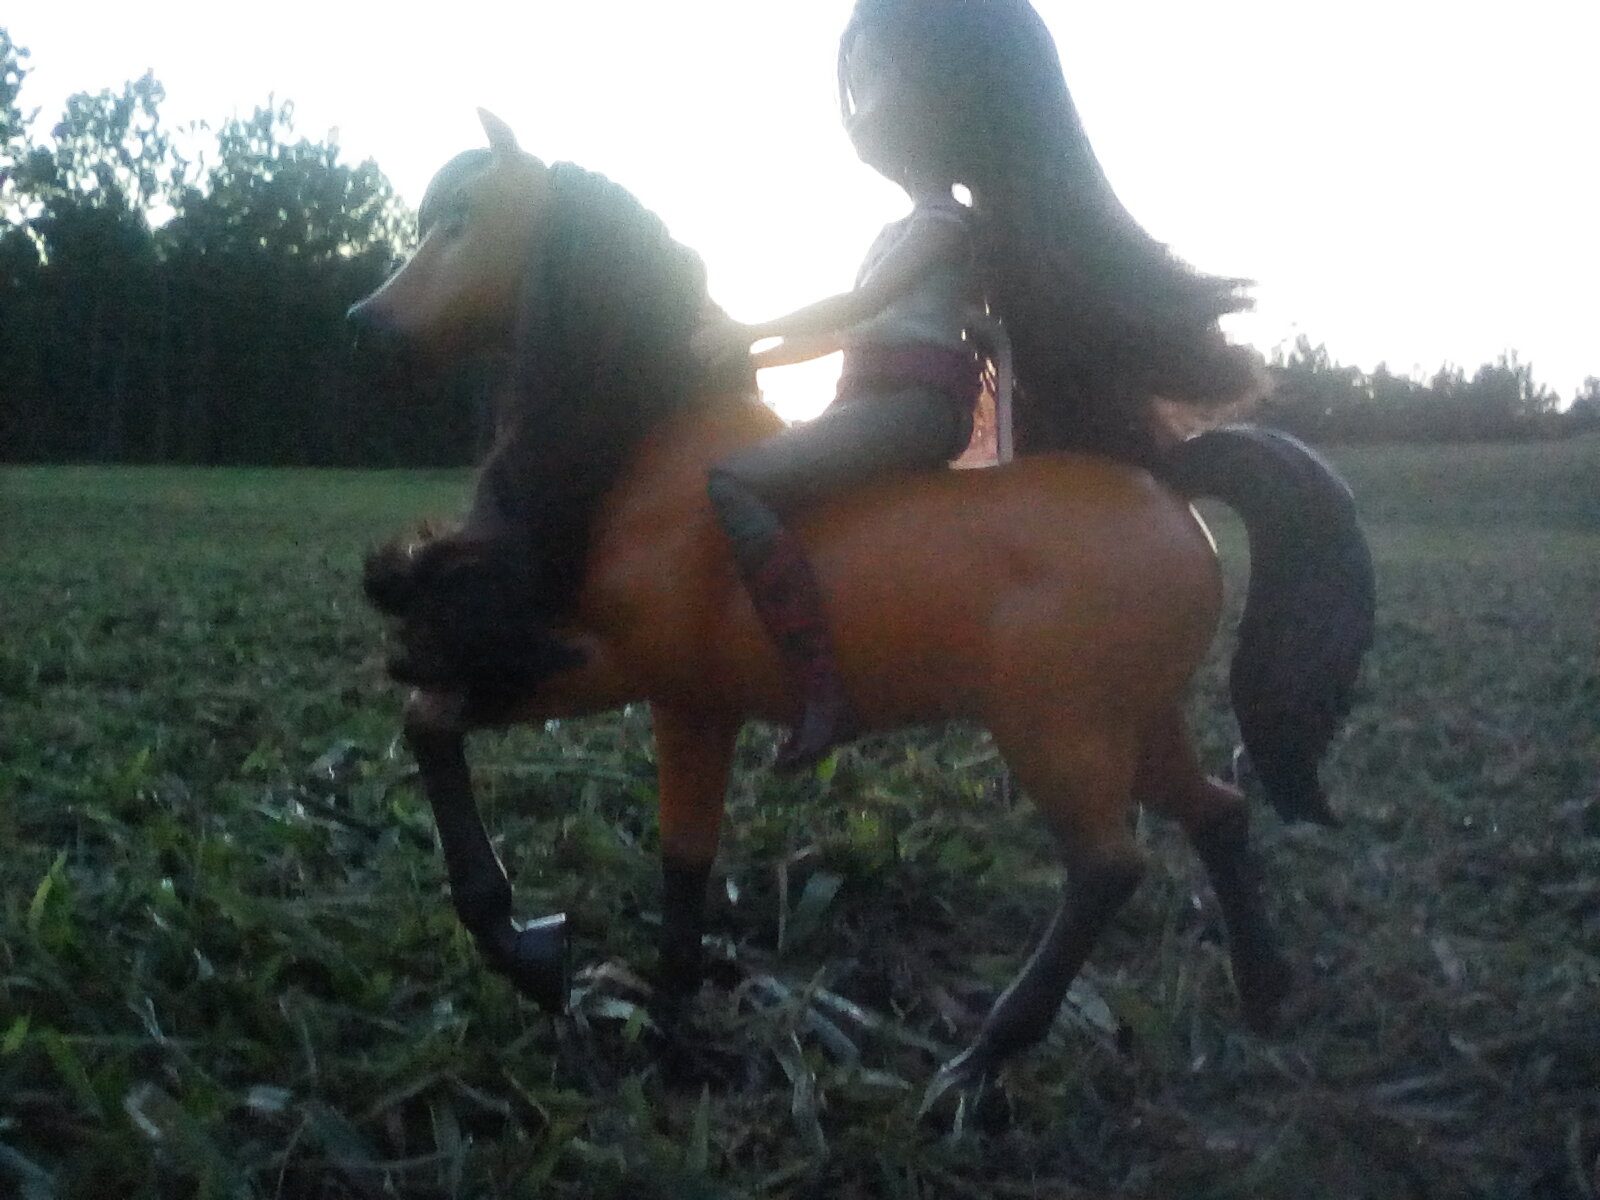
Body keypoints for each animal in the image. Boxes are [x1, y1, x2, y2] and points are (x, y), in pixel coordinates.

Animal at [346, 111, 1374, 1089]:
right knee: (1216, 810)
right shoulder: (683, 702)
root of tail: (1171, 491)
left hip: (1060, 731)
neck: (662, 455)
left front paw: (564, 972)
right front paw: (620, 999)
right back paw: (1265, 992)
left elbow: (448, 729)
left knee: (1107, 869)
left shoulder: (626, 673)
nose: (367, 326)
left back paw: (979, 1065)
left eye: (460, 218)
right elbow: (662, 852)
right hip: (1138, 717)